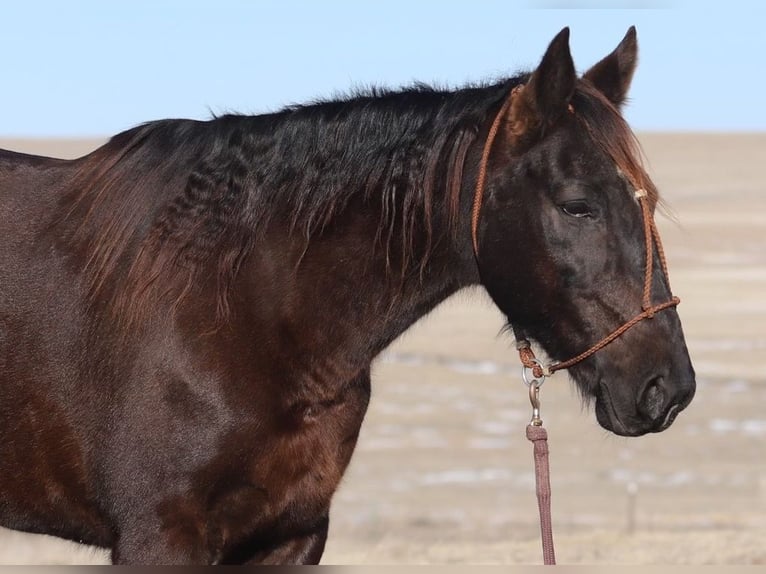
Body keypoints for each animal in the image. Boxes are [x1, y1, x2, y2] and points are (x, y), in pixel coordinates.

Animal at [0, 27, 696, 568]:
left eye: (651, 202)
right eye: (577, 205)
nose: (668, 388)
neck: (241, 308)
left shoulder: (291, 534)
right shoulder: (158, 536)